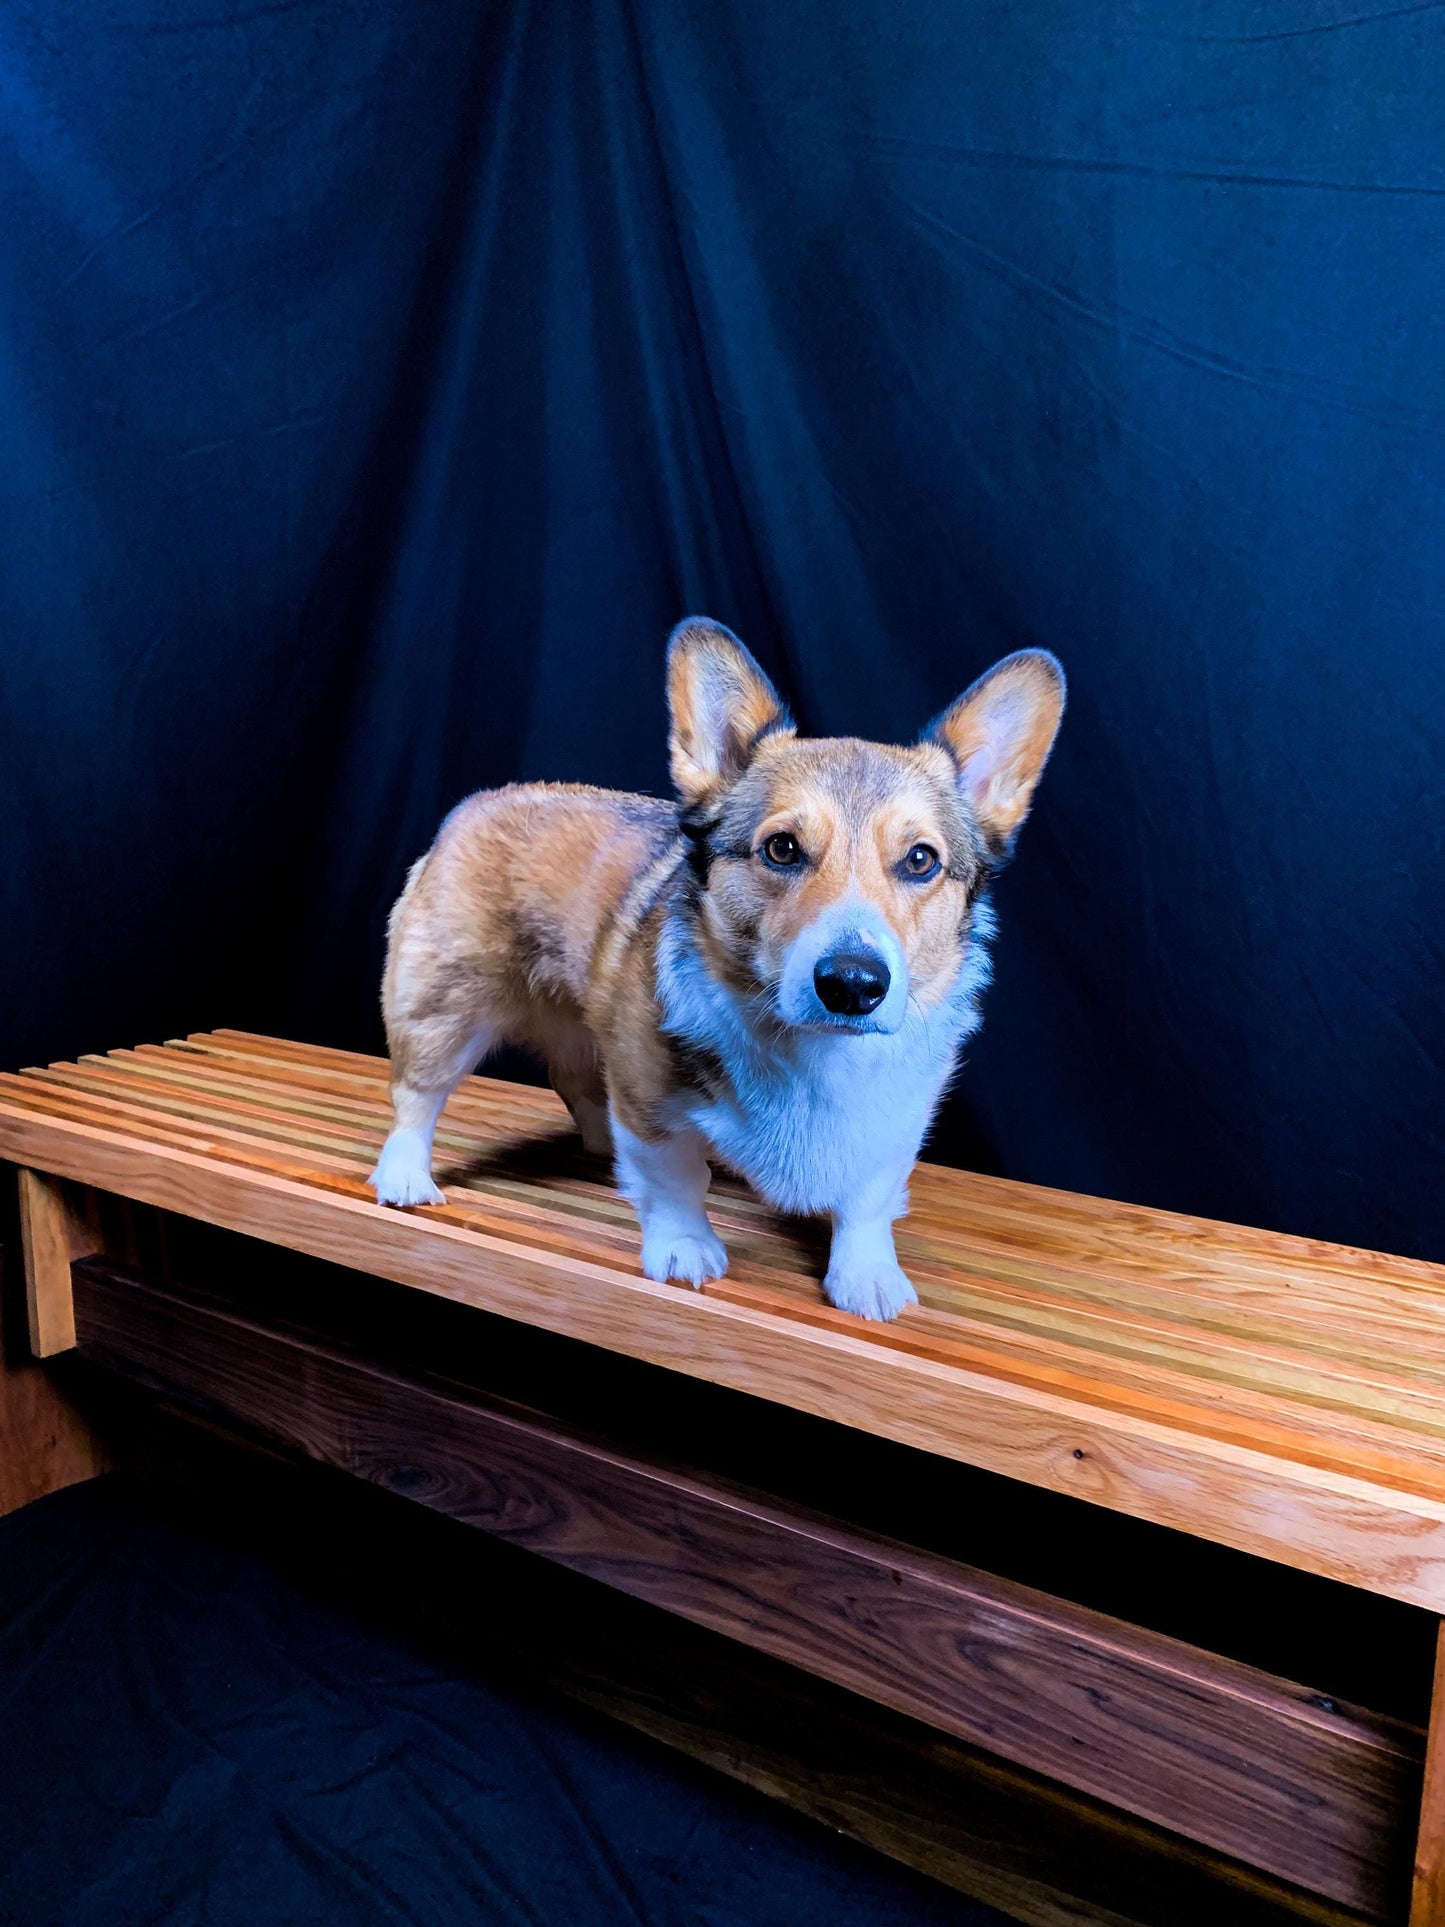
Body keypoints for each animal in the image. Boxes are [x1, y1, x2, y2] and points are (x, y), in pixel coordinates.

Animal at [367, 624, 1063, 1318]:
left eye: (921, 860)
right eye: (782, 848)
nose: (853, 985)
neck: (810, 1051)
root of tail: (478, 802)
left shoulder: (895, 1122)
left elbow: (868, 1200)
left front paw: (866, 1275)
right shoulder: (651, 1097)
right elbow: (675, 1178)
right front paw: (684, 1249)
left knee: (578, 1082)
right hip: (444, 1008)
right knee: (417, 1095)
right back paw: (406, 1176)